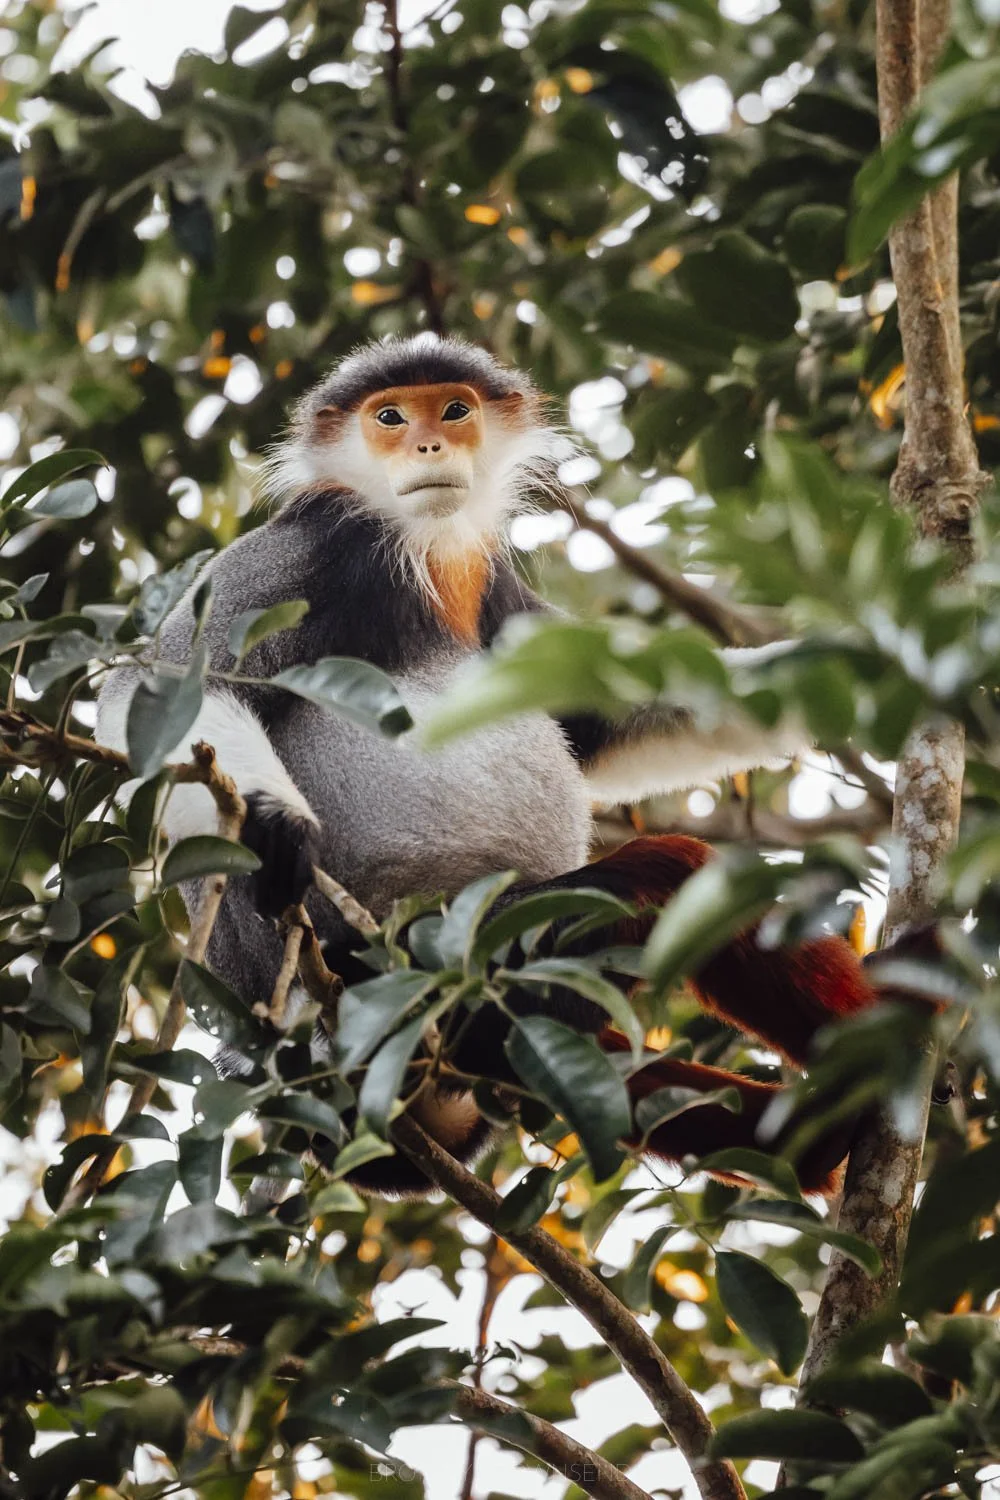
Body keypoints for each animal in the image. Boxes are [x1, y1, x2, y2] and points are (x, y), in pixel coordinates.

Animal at [96, 334, 929, 1198]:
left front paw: (884, 667)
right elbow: (158, 687)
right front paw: (272, 823)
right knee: (673, 871)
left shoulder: (491, 581)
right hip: (436, 959)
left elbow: (602, 721)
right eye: (390, 419)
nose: (429, 445)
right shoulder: (315, 540)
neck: (423, 544)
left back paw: (822, 1121)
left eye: (454, 410)